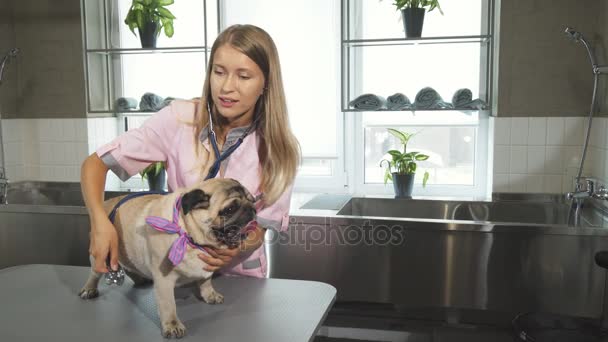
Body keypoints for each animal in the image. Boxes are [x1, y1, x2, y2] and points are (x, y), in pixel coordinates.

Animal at [78, 178, 256, 338]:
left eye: (252, 199)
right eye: (230, 209)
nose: (252, 208)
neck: (188, 234)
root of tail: (106, 203)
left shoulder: (205, 269)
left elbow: (206, 281)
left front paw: (210, 294)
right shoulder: (164, 280)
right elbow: (168, 305)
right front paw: (172, 325)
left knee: (129, 266)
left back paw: (140, 280)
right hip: (100, 254)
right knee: (94, 274)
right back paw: (89, 289)